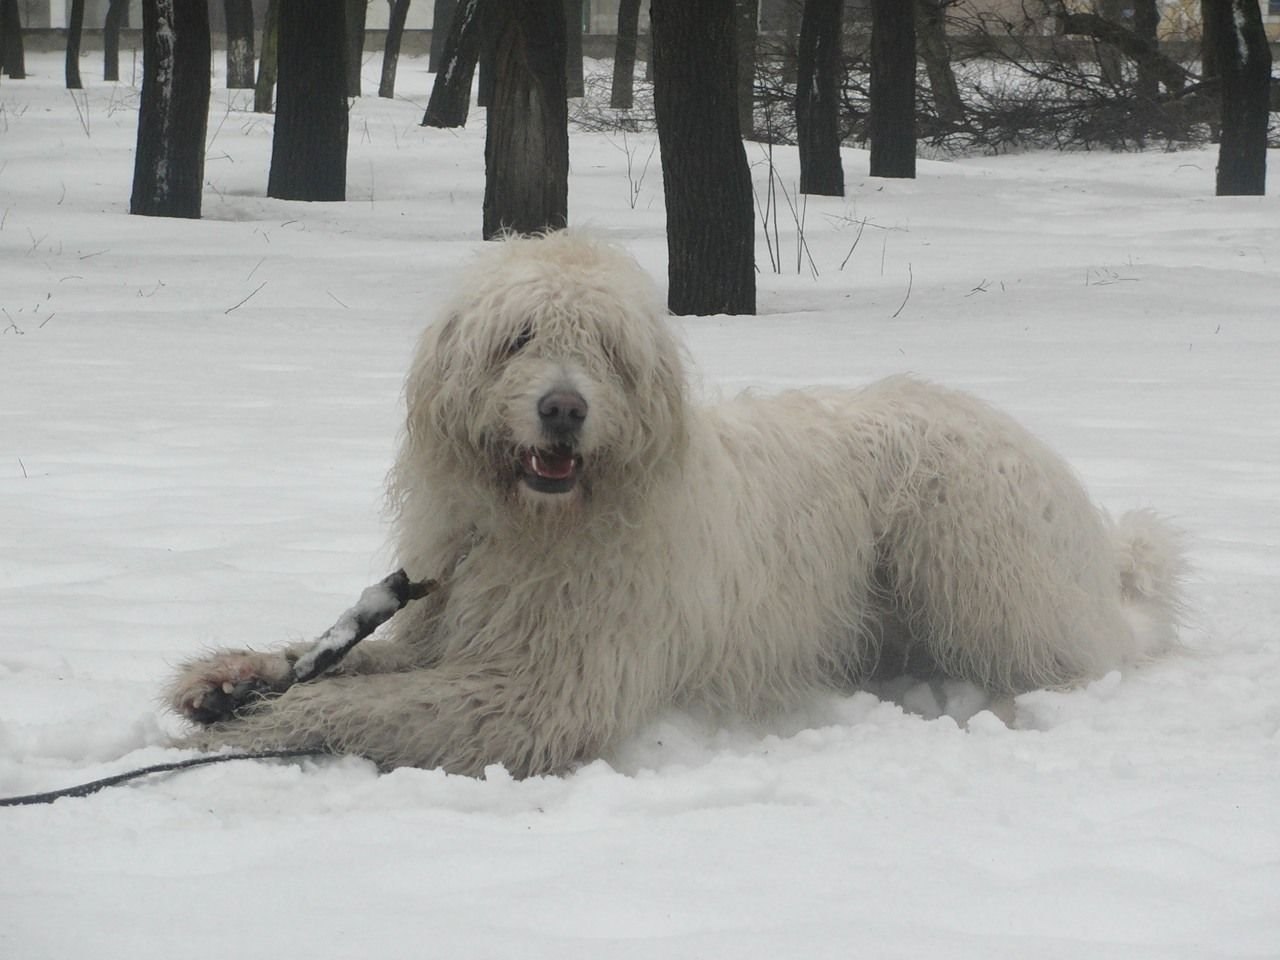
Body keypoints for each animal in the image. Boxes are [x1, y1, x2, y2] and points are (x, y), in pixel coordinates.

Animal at [167, 232, 1177, 783]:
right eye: (518, 337)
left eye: (607, 349)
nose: (563, 409)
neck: (540, 524)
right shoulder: (456, 626)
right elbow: (353, 658)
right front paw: (232, 678)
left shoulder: (543, 687)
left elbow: (371, 702)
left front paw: (260, 725)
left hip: (971, 557)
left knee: (1071, 655)